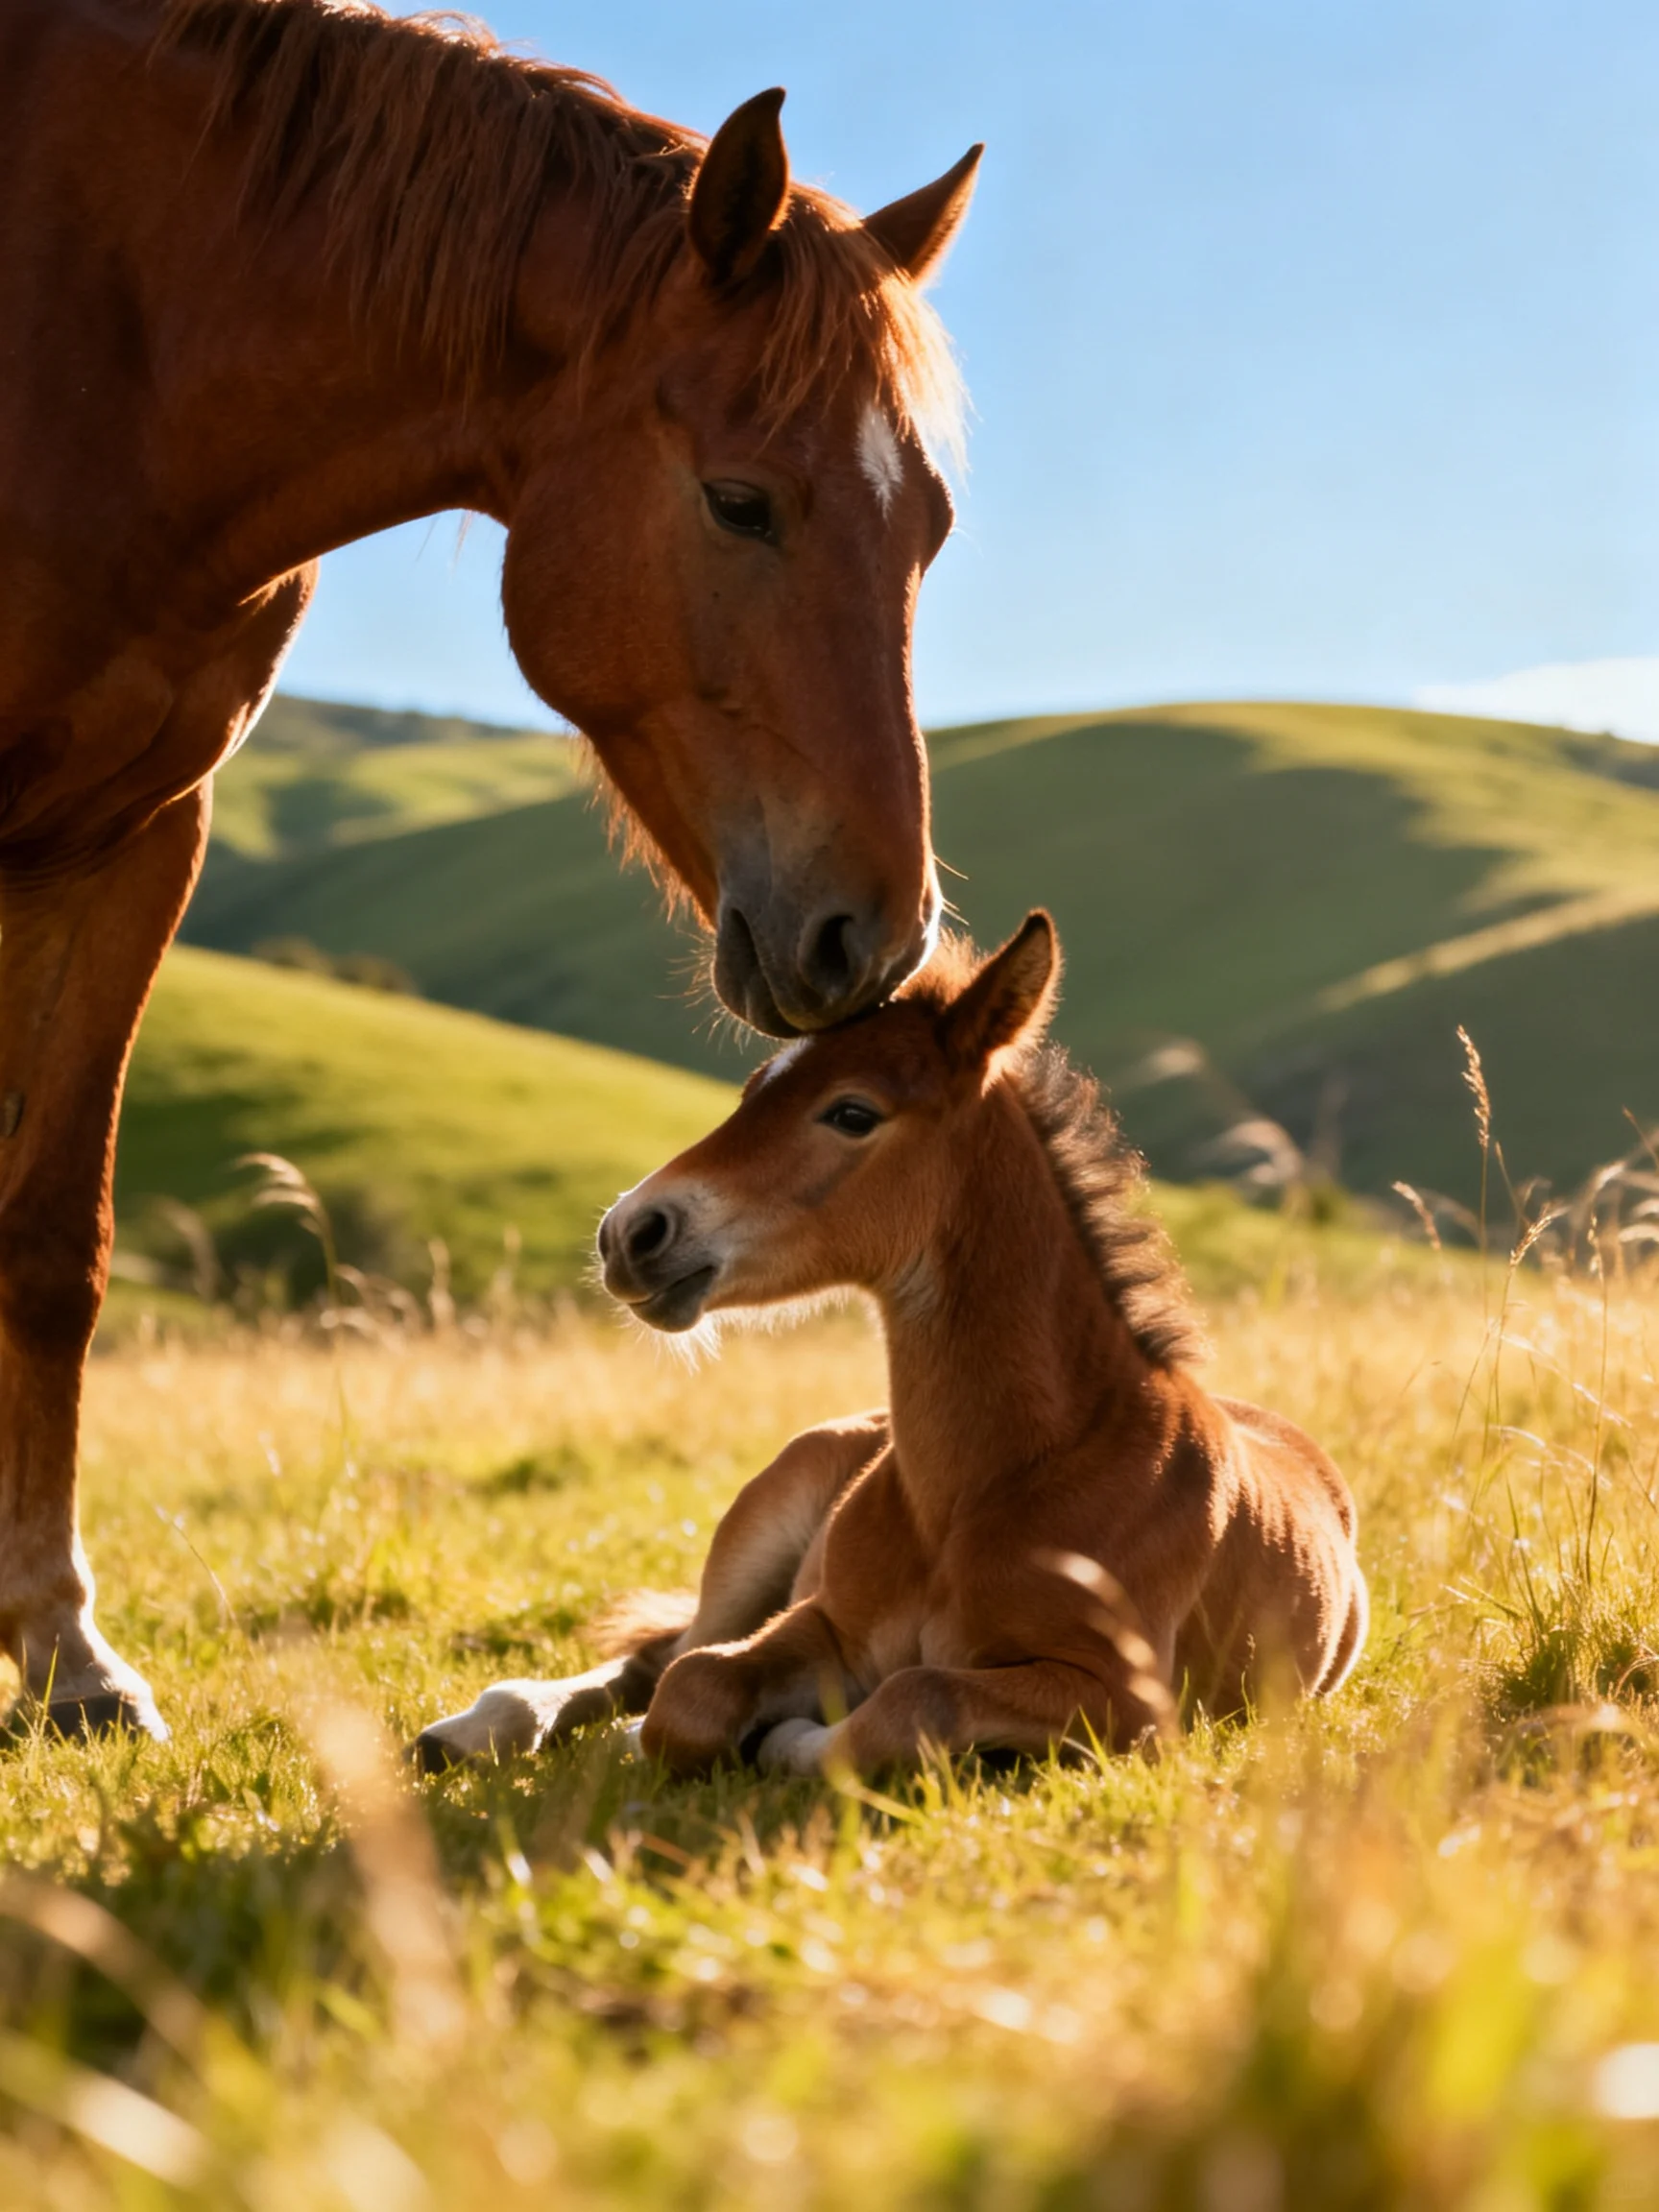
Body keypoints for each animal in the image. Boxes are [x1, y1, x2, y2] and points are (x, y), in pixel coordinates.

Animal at [0, 0, 982, 1740]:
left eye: (925, 525)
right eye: (740, 501)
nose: (876, 935)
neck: (107, 325)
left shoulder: (137, 834)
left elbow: (52, 1239)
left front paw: (61, 1650)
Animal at [415, 912, 1368, 1777]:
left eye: (851, 1112)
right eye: (755, 1087)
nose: (631, 1234)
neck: (996, 1484)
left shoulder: (1127, 1704)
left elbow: (915, 1695)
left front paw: (788, 1741)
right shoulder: (821, 1621)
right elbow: (697, 1686)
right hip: (760, 1525)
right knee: (665, 1652)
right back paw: (484, 1725)